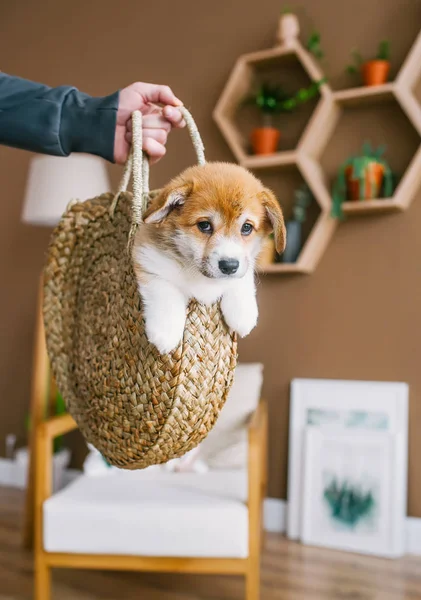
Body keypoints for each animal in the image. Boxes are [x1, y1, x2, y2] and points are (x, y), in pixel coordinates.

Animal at [132, 162, 286, 354]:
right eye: (204, 225)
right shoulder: (146, 258)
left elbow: (242, 277)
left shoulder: (244, 265)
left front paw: (243, 312)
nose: (229, 266)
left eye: (246, 227)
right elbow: (164, 290)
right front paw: (165, 331)